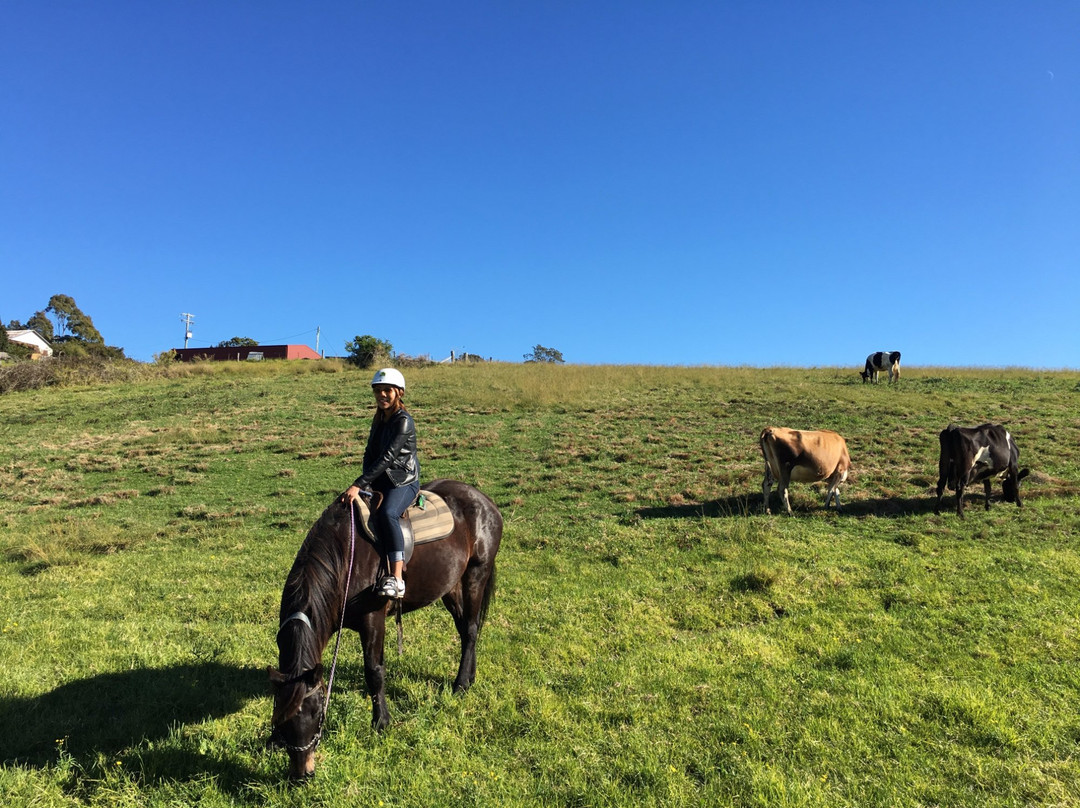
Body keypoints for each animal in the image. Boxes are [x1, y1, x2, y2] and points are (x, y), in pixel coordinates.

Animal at [265, 477, 501, 777]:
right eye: (282, 717)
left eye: (317, 712)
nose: (301, 774)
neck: (345, 556)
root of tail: (484, 501)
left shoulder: (372, 619)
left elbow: (374, 671)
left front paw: (381, 722)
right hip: (451, 585)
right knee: (464, 630)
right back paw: (469, 678)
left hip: (475, 575)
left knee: (470, 630)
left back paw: (460, 685)